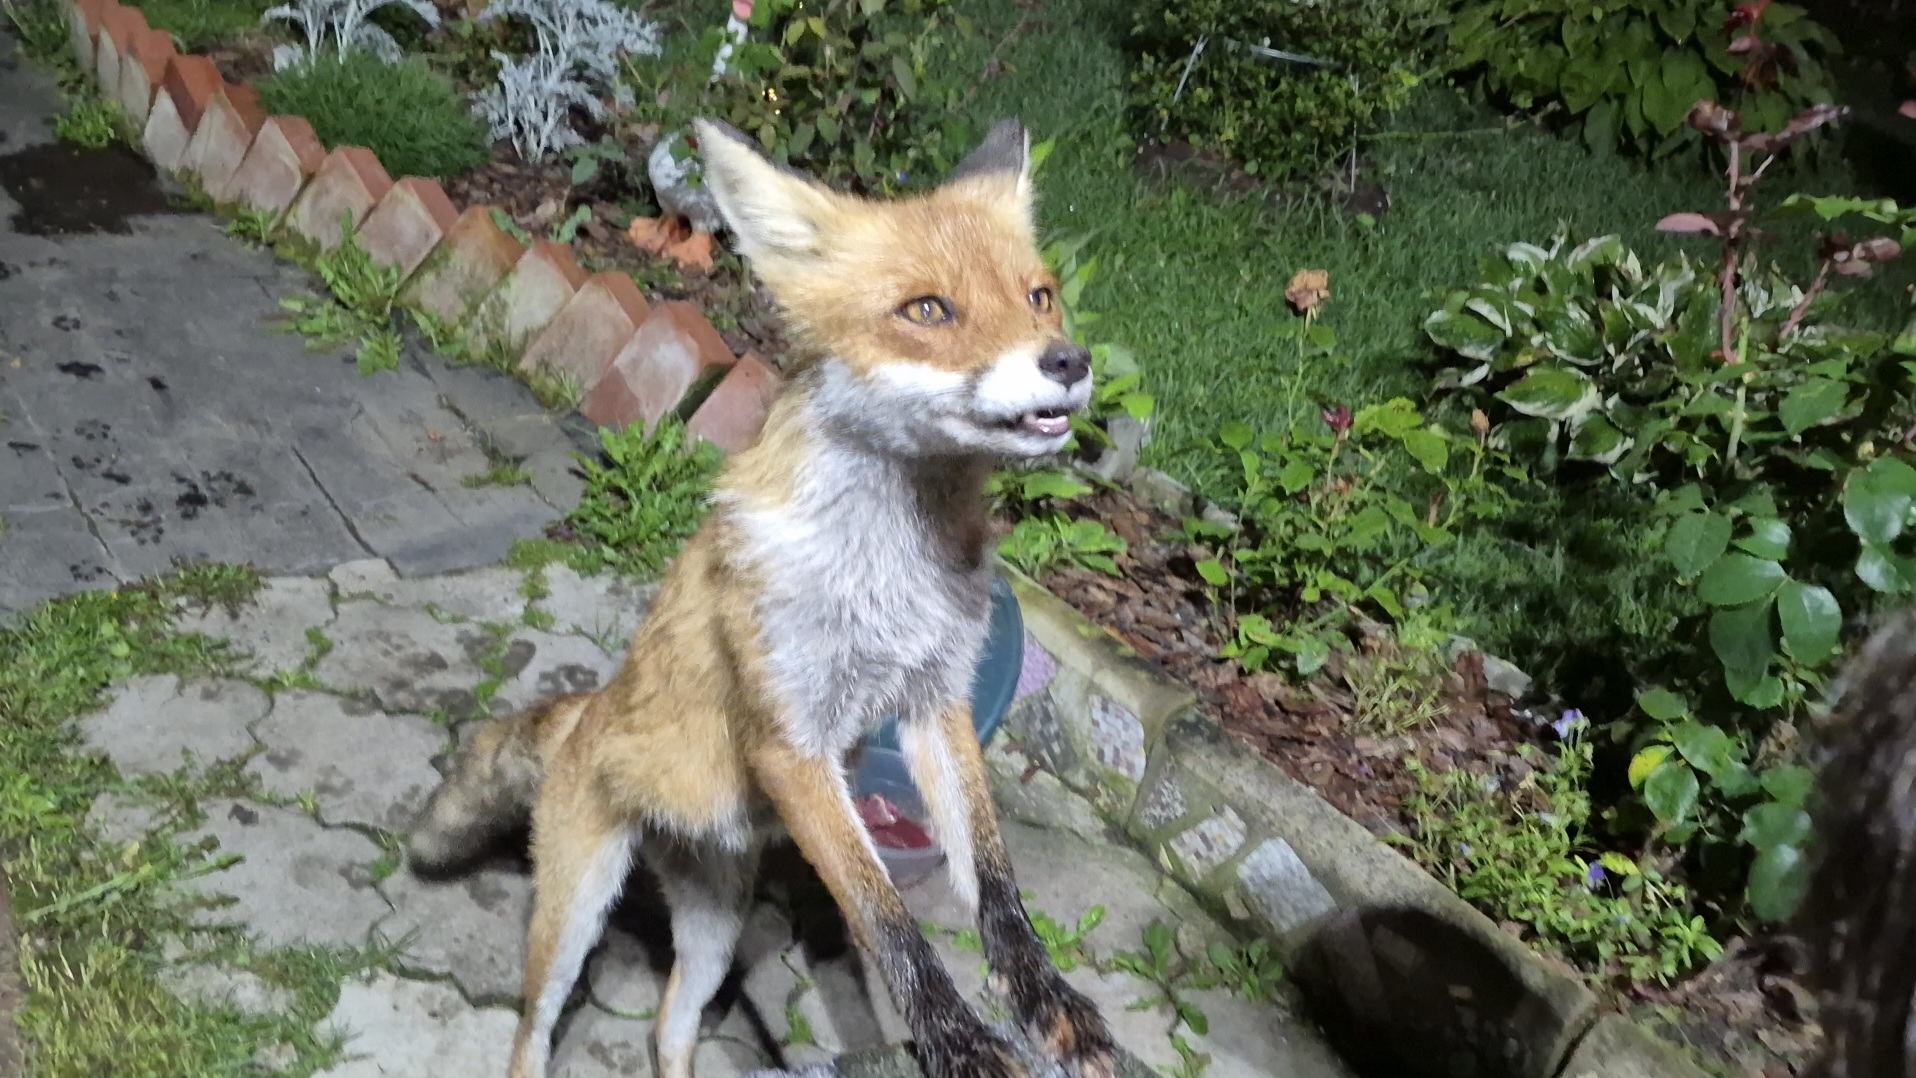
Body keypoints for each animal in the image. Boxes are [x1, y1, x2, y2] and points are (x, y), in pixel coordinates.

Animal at [405, 116, 1117, 1078]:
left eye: (1040, 296)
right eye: (927, 310)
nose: (1069, 360)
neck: (892, 568)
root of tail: (589, 709)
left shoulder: (936, 702)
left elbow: (995, 883)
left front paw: (1048, 1001)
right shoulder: (790, 743)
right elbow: (886, 921)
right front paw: (958, 1040)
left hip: (715, 924)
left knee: (671, 1025)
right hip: (573, 916)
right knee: (532, 1032)